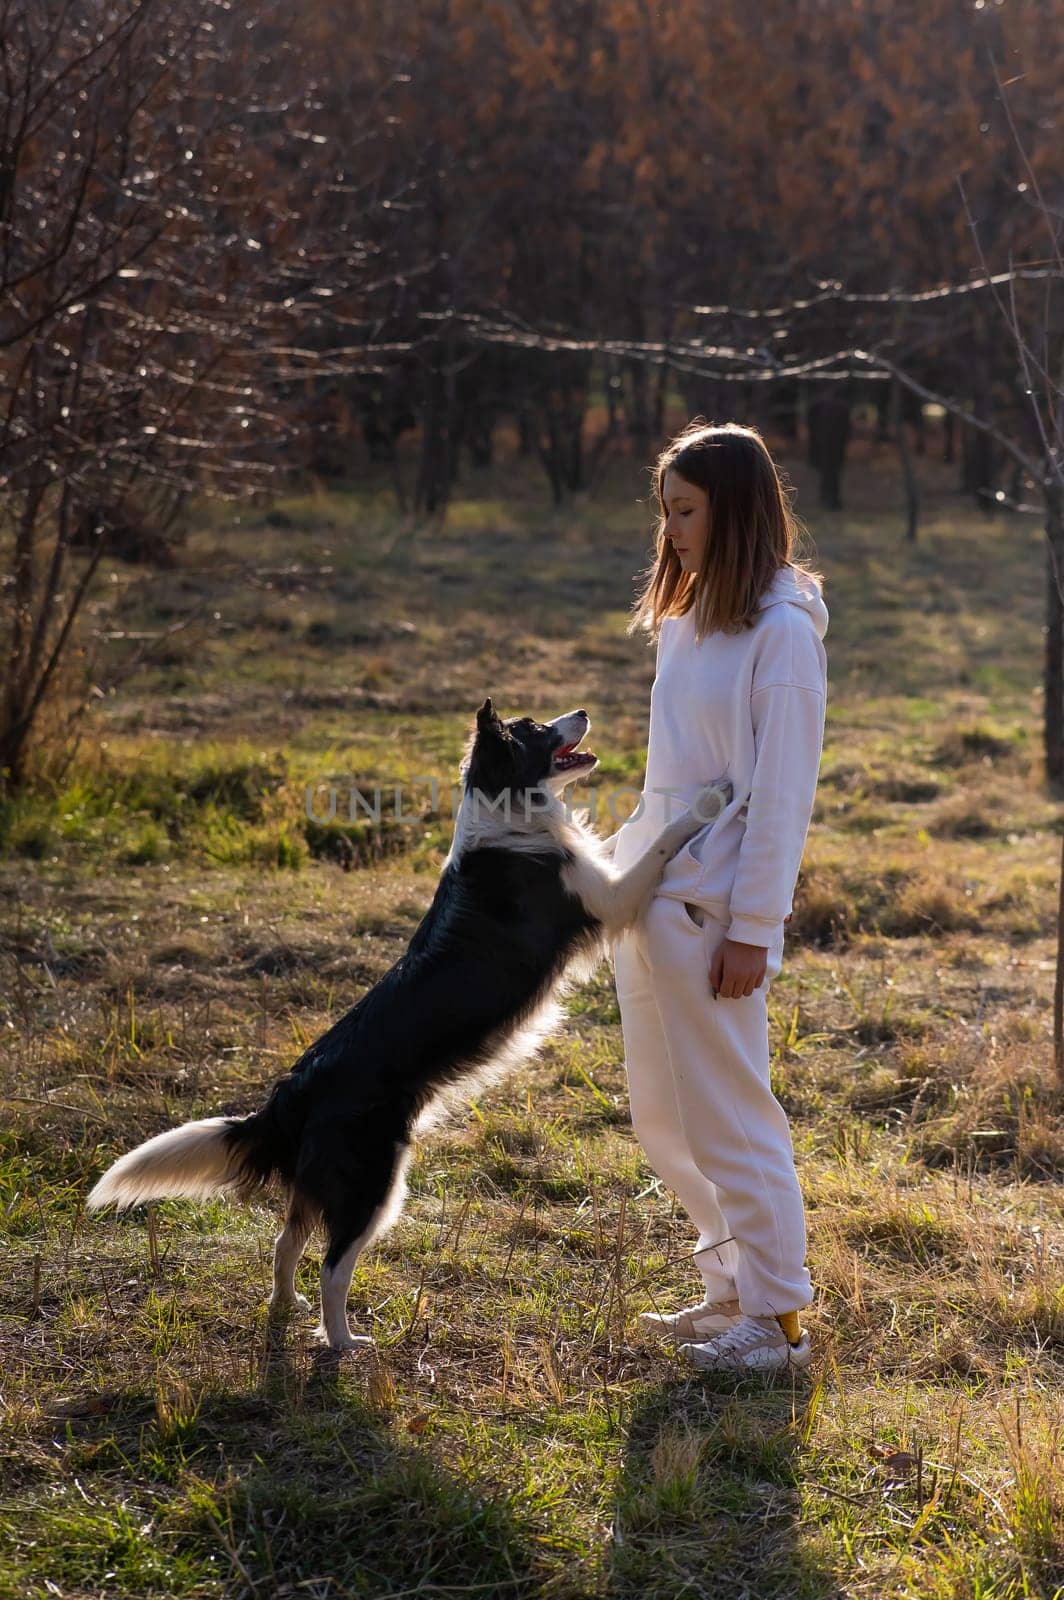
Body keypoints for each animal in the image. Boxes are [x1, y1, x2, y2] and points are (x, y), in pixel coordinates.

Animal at [91, 707, 729, 1344]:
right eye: (533, 728)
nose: (582, 713)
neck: (504, 812)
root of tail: (291, 1093)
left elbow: (618, 844)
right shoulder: (611, 899)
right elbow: (658, 846)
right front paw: (711, 799)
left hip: (322, 1185)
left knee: (285, 1242)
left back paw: (286, 1307)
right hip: (375, 1182)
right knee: (332, 1266)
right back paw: (344, 1342)